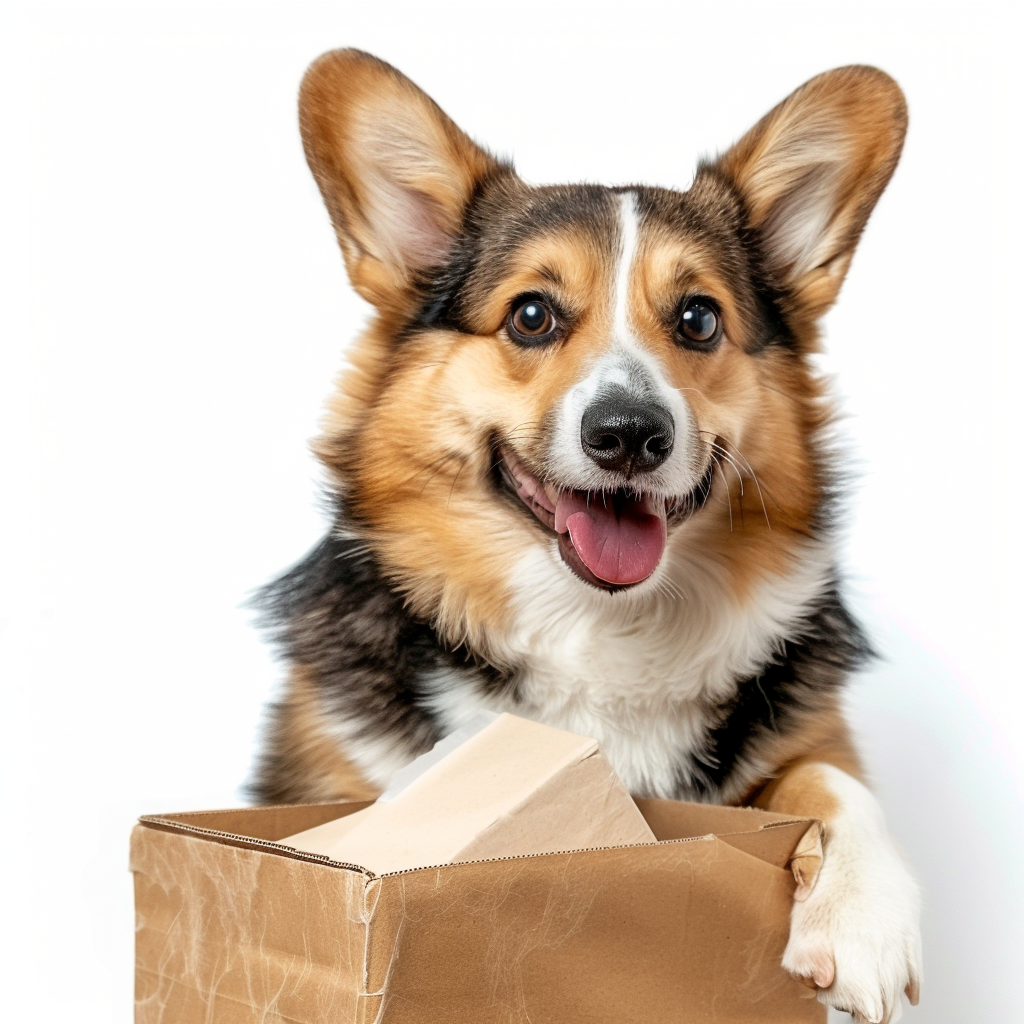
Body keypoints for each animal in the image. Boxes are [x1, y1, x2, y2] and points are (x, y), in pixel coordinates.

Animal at [253, 51, 921, 1019]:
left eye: (698, 319)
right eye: (531, 315)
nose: (630, 434)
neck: (594, 627)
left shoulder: (808, 739)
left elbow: (836, 780)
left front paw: (865, 914)